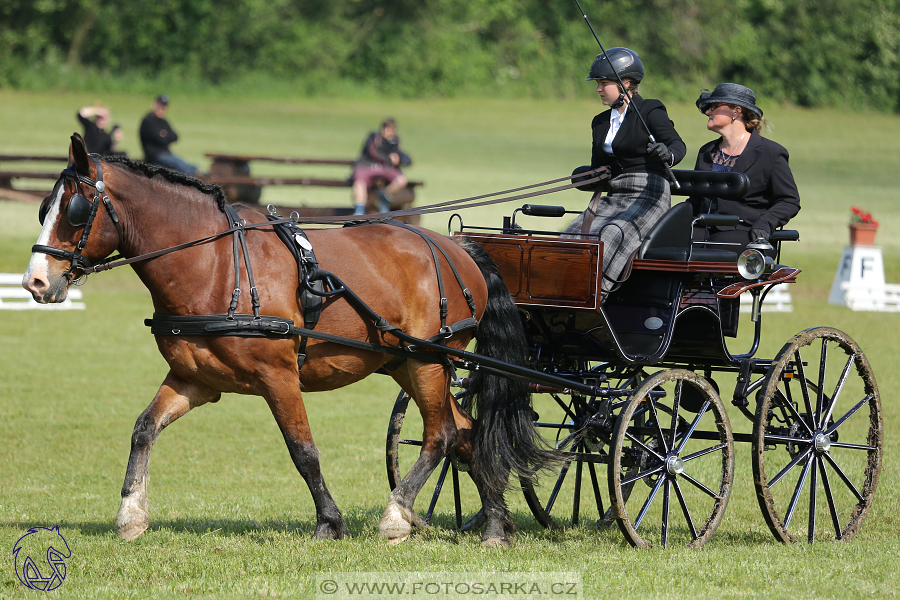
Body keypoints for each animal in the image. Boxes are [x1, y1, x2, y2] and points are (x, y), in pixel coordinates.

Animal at [22, 134, 556, 548]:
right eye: (45, 206)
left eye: (75, 210)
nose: (35, 283)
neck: (216, 264)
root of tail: (457, 247)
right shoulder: (195, 379)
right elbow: (143, 429)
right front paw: (131, 515)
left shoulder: (278, 377)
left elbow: (303, 451)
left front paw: (329, 522)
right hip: (404, 361)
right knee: (467, 431)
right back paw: (494, 526)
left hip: (429, 359)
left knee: (441, 433)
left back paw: (397, 517)